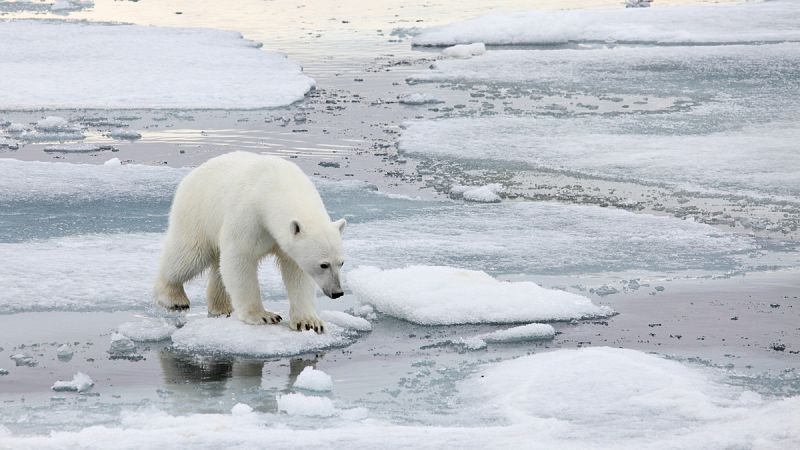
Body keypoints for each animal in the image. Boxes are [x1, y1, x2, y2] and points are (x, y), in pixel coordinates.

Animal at [155, 153, 346, 332]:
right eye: (323, 264)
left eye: (341, 263)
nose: (337, 292)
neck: (277, 186)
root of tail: (191, 174)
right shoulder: (249, 214)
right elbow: (240, 259)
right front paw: (263, 316)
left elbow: (296, 272)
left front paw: (309, 322)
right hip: (197, 213)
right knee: (189, 255)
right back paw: (173, 298)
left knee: (217, 267)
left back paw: (221, 307)